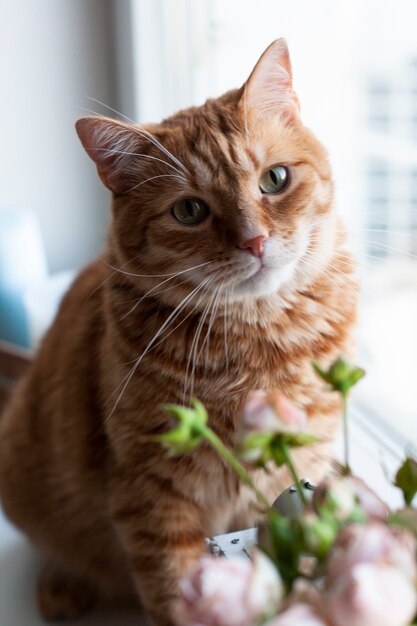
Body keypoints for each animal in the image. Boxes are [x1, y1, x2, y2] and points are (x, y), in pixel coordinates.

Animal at [0, 40, 354, 624]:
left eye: (275, 180)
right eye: (189, 210)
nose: (255, 241)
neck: (255, 345)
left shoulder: (291, 470)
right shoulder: (152, 497)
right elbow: (173, 589)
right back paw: (62, 583)